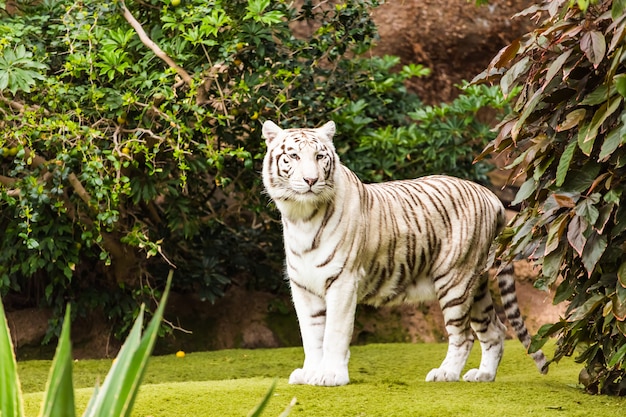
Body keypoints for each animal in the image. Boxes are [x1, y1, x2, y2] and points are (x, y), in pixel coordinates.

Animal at [260, 118, 544, 386]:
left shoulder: (343, 282)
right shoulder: (303, 287)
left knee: (463, 336)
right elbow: (311, 336)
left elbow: (334, 334)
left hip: (455, 281)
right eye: (294, 156)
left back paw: (446, 373)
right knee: (495, 329)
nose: (311, 180)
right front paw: (310, 373)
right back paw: (483, 375)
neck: (302, 217)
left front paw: (331, 376)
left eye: (320, 157)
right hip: (477, 284)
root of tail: (491, 196)